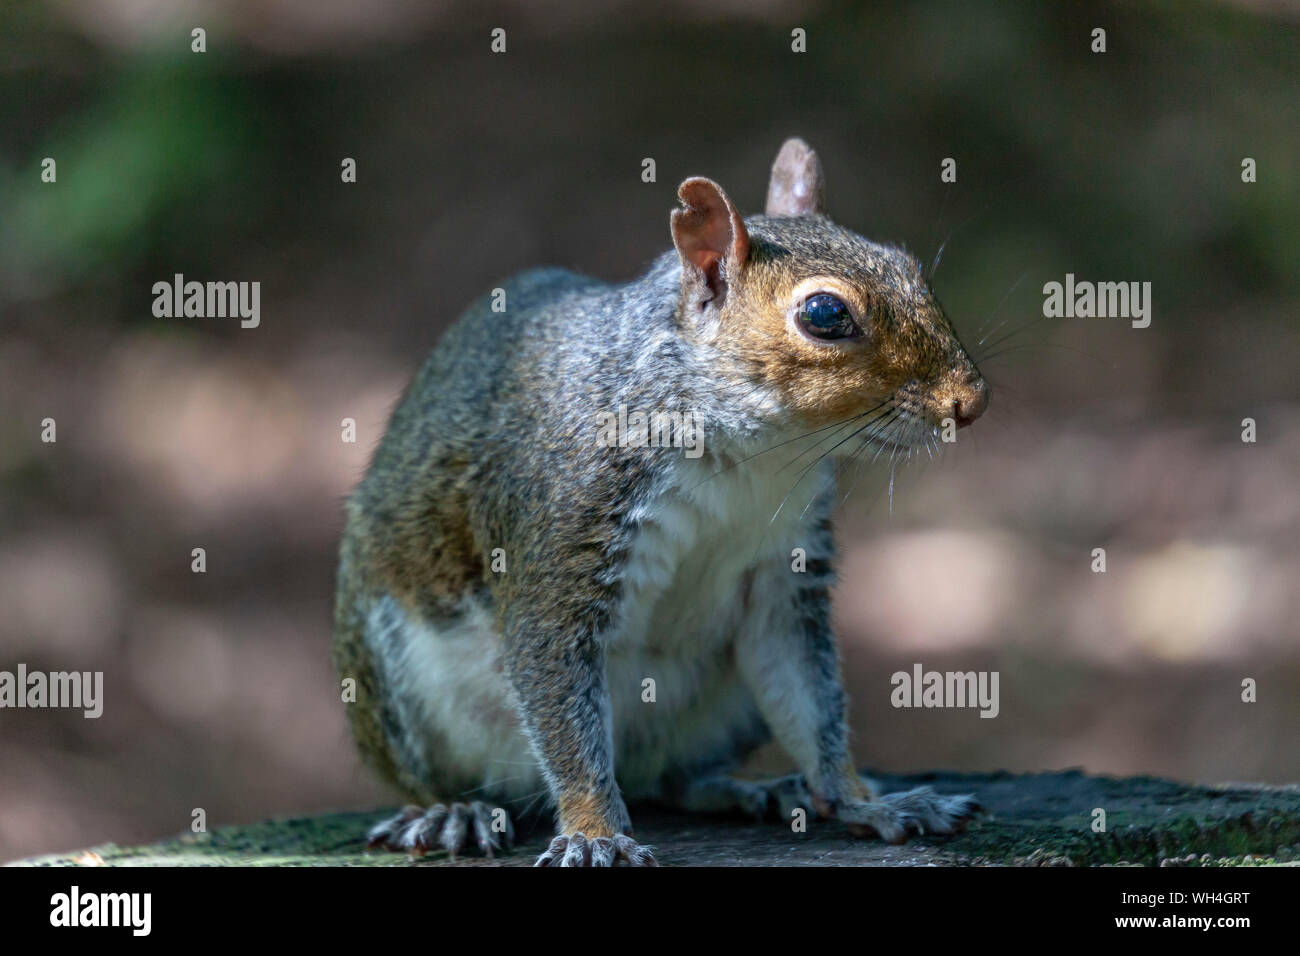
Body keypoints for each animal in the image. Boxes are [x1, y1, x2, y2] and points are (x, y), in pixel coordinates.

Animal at [332, 140, 982, 868]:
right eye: (825, 315)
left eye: (907, 265)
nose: (970, 400)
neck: (750, 455)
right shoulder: (563, 541)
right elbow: (561, 701)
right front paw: (594, 832)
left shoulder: (783, 577)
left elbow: (810, 699)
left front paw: (863, 801)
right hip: (396, 684)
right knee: (440, 776)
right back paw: (454, 811)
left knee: (674, 779)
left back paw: (755, 791)